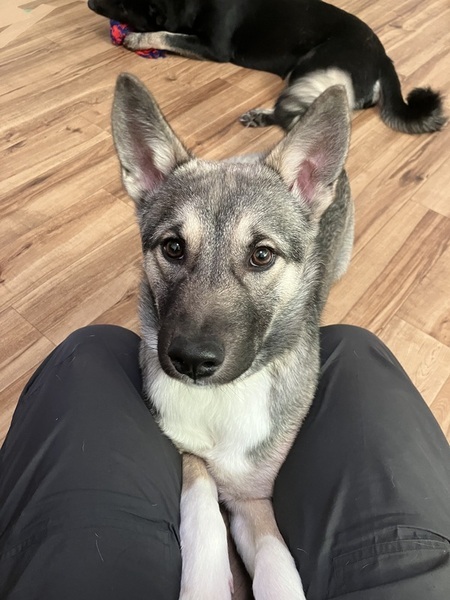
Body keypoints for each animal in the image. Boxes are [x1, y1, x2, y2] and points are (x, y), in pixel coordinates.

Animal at [89, 0, 446, 135]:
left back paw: (263, 116)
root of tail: (383, 57)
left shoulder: (213, 47)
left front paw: (138, 37)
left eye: (123, 4)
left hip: (312, 65)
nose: (90, 3)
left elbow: (167, 34)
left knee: (301, 115)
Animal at [111, 72, 354, 599]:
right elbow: (202, 505)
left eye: (262, 255)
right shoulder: (184, 452)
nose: (190, 361)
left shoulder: (254, 499)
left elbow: (278, 567)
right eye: (173, 247)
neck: (221, 397)